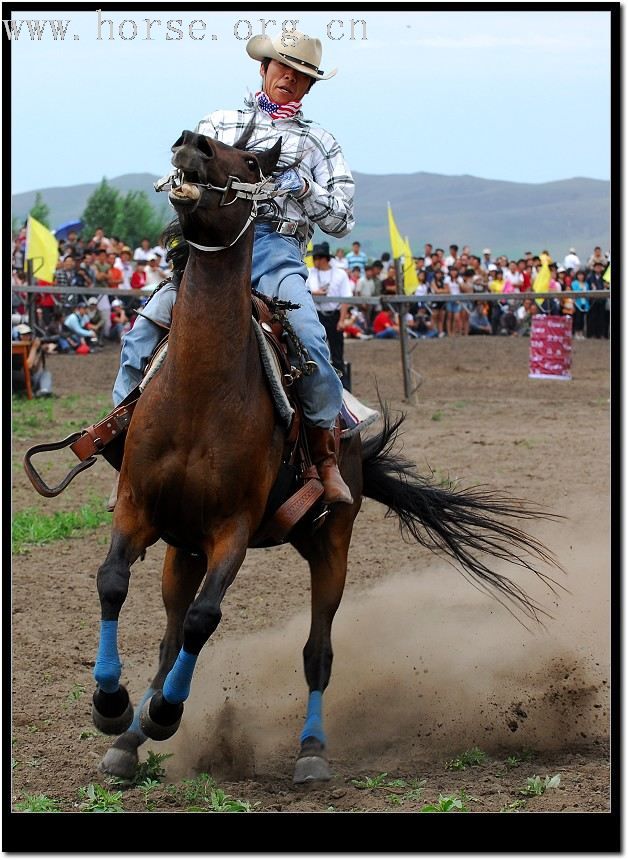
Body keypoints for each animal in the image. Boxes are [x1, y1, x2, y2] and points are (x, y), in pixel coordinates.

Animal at [88, 129, 560, 788]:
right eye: (212, 136)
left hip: (330, 543)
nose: (192, 143)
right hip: (183, 549)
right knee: (168, 637)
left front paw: (163, 714)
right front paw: (113, 706)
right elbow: (113, 583)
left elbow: (206, 619)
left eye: (253, 162)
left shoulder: (233, 530)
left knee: (316, 652)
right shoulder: (138, 508)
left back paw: (310, 750)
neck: (199, 392)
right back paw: (131, 740)